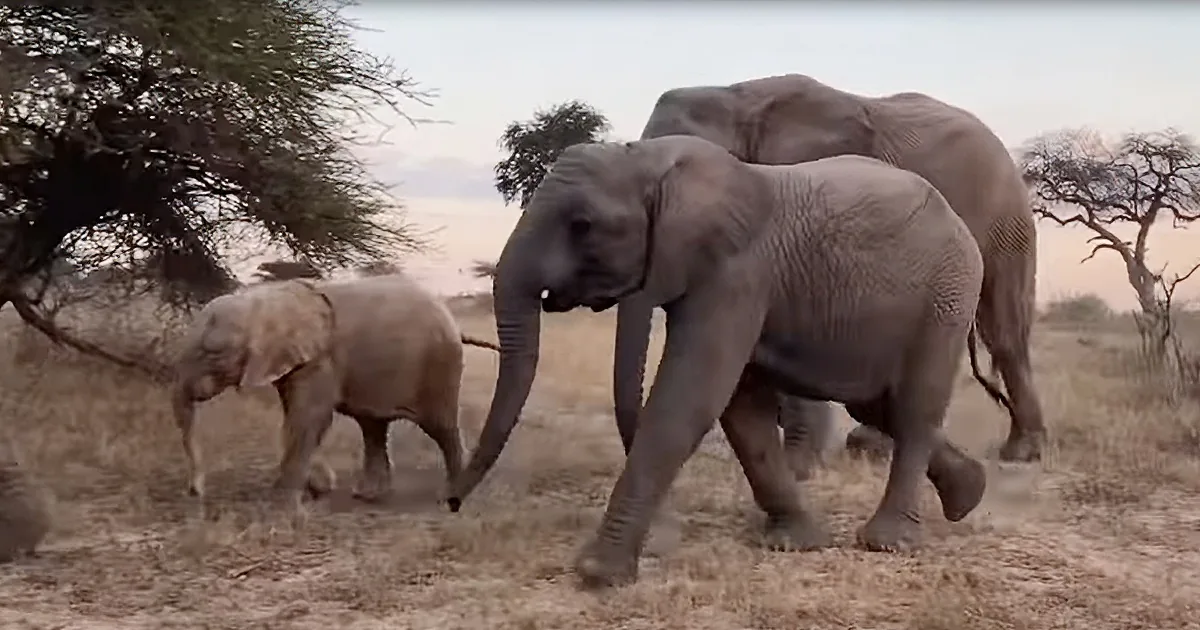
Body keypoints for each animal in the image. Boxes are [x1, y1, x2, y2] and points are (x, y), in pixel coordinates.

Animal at [171, 273, 499, 509]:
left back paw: (449, 497)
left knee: (440, 426)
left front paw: (282, 504)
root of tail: (454, 322)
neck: (266, 300)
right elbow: (296, 417)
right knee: (372, 426)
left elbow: (309, 417)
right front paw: (316, 487)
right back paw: (367, 496)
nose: (195, 492)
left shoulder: (320, 358)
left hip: (439, 364)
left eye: (212, 353)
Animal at [446, 135, 992, 589]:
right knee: (879, 403)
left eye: (582, 226)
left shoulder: (737, 271)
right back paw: (968, 494)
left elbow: (690, 398)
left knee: (915, 407)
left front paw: (597, 574)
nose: (451, 502)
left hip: (947, 295)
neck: (650, 163)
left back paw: (887, 541)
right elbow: (741, 409)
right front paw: (795, 542)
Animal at [612, 73, 1043, 472]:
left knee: (1003, 331)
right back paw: (874, 446)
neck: (735, 95)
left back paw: (1020, 452)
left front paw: (799, 466)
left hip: (1005, 218)